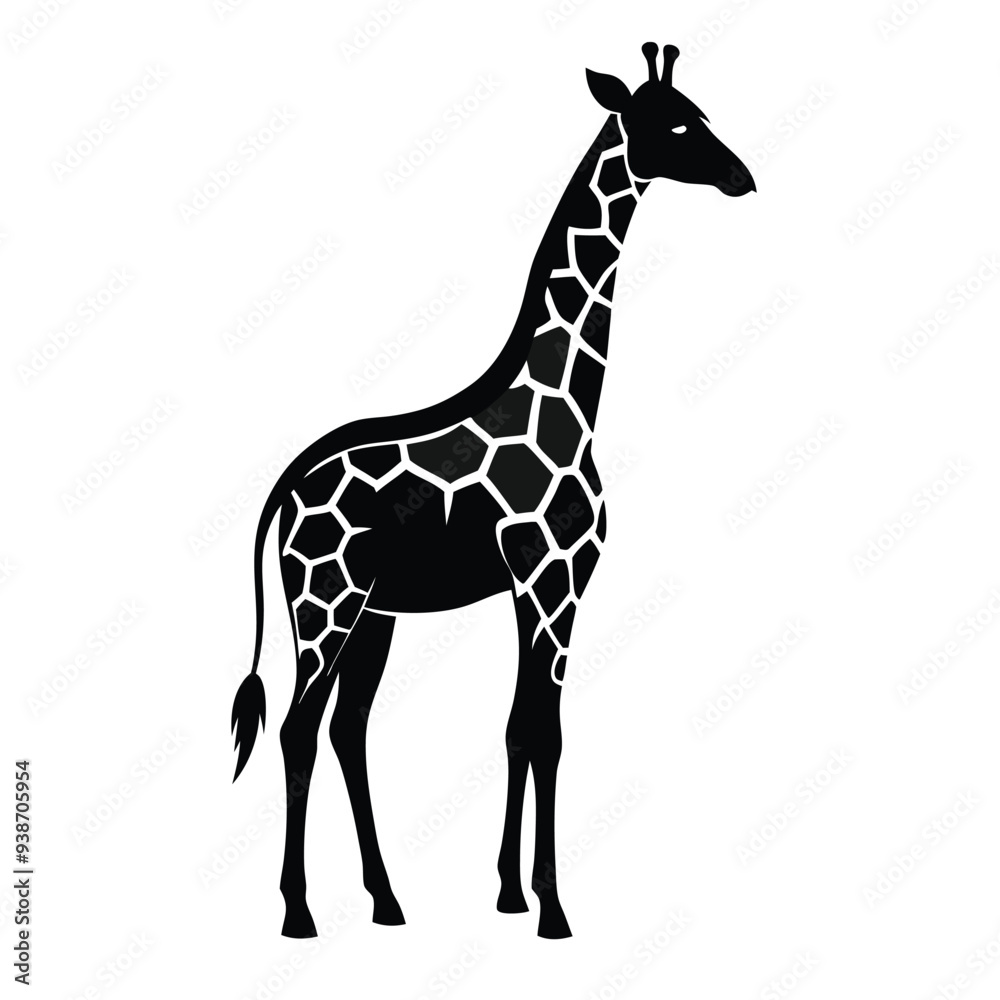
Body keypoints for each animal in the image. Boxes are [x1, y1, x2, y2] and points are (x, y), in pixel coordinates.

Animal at [231, 42, 755, 941]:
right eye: (679, 124)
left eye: (703, 114)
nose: (742, 177)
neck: (572, 403)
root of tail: (286, 487)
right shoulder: (552, 578)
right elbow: (545, 732)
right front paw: (554, 909)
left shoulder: (539, 586)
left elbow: (517, 729)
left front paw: (512, 892)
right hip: (324, 599)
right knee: (299, 728)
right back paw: (299, 912)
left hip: (373, 611)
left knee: (346, 729)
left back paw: (387, 901)